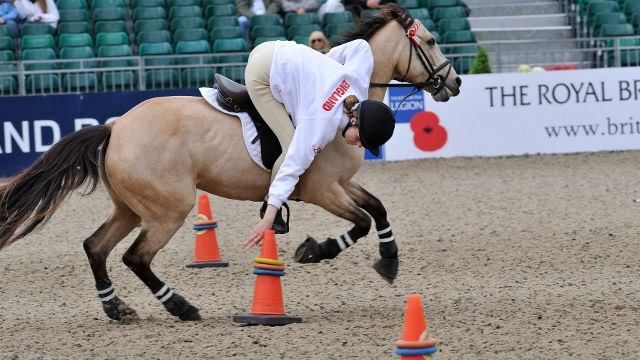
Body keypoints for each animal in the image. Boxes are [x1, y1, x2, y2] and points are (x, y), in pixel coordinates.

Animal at [0, 4, 460, 320]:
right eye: (431, 41)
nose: (453, 82)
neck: (351, 100)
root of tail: (115, 128)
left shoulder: (341, 184)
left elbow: (377, 208)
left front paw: (389, 258)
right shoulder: (321, 189)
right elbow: (361, 221)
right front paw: (315, 250)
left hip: (130, 208)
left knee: (95, 246)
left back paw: (117, 309)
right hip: (169, 208)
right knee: (136, 257)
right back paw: (181, 306)